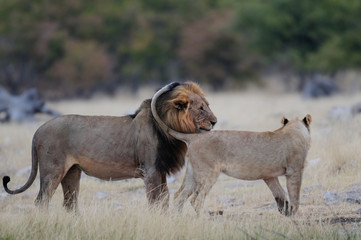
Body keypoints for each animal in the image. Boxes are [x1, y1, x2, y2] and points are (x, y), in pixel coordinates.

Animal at [2, 82, 217, 210]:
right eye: (201, 109)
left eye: (208, 105)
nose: (215, 122)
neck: (168, 126)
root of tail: (38, 129)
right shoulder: (150, 170)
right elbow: (155, 201)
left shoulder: (161, 170)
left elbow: (164, 200)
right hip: (52, 170)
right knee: (41, 201)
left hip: (72, 172)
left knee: (70, 203)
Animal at [150, 88, 310, 216]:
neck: (293, 130)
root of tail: (195, 137)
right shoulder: (294, 170)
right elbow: (294, 194)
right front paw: (294, 214)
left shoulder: (269, 175)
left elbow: (279, 194)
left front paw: (286, 212)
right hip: (208, 173)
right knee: (196, 199)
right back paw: (205, 220)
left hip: (192, 173)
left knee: (179, 195)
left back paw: (176, 219)